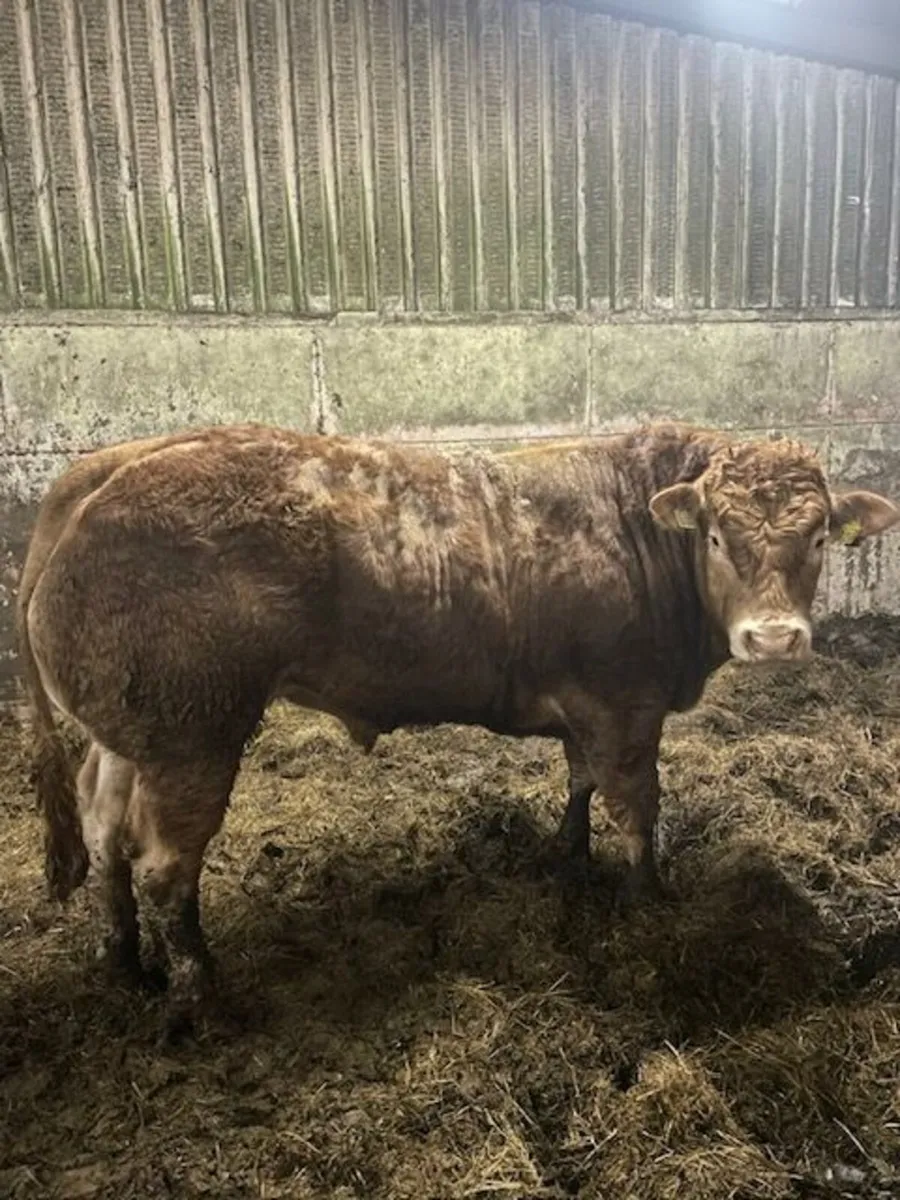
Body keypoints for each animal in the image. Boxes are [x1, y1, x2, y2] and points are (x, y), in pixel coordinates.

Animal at [17, 421, 899, 1038]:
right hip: (192, 738)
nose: (775, 639)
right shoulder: (625, 704)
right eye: (716, 536)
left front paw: (568, 857)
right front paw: (649, 899)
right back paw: (202, 996)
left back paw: (125, 962)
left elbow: (580, 781)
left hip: (129, 736)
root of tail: (107, 469)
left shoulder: (587, 707)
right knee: (165, 866)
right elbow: (636, 806)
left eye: (820, 536)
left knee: (104, 831)